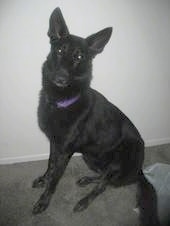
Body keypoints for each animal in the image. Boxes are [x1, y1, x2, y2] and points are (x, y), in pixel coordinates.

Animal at [32, 7, 160, 226]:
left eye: (79, 57)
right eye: (59, 51)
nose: (60, 79)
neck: (63, 100)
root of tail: (139, 171)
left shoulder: (65, 151)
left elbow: (55, 178)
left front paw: (44, 201)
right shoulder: (55, 144)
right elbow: (50, 164)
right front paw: (43, 178)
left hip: (119, 157)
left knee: (104, 185)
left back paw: (84, 201)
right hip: (89, 156)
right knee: (104, 177)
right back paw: (87, 180)